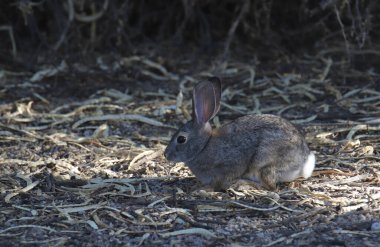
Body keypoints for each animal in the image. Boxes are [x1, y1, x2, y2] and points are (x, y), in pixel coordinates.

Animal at [163, 77, 314, 191]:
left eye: (181, 139)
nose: (166, 154)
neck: (203, 146)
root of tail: (304, 162)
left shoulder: (229, 165)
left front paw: (204, 189)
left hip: (263, 164)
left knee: (270, 186)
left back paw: (243, 183)